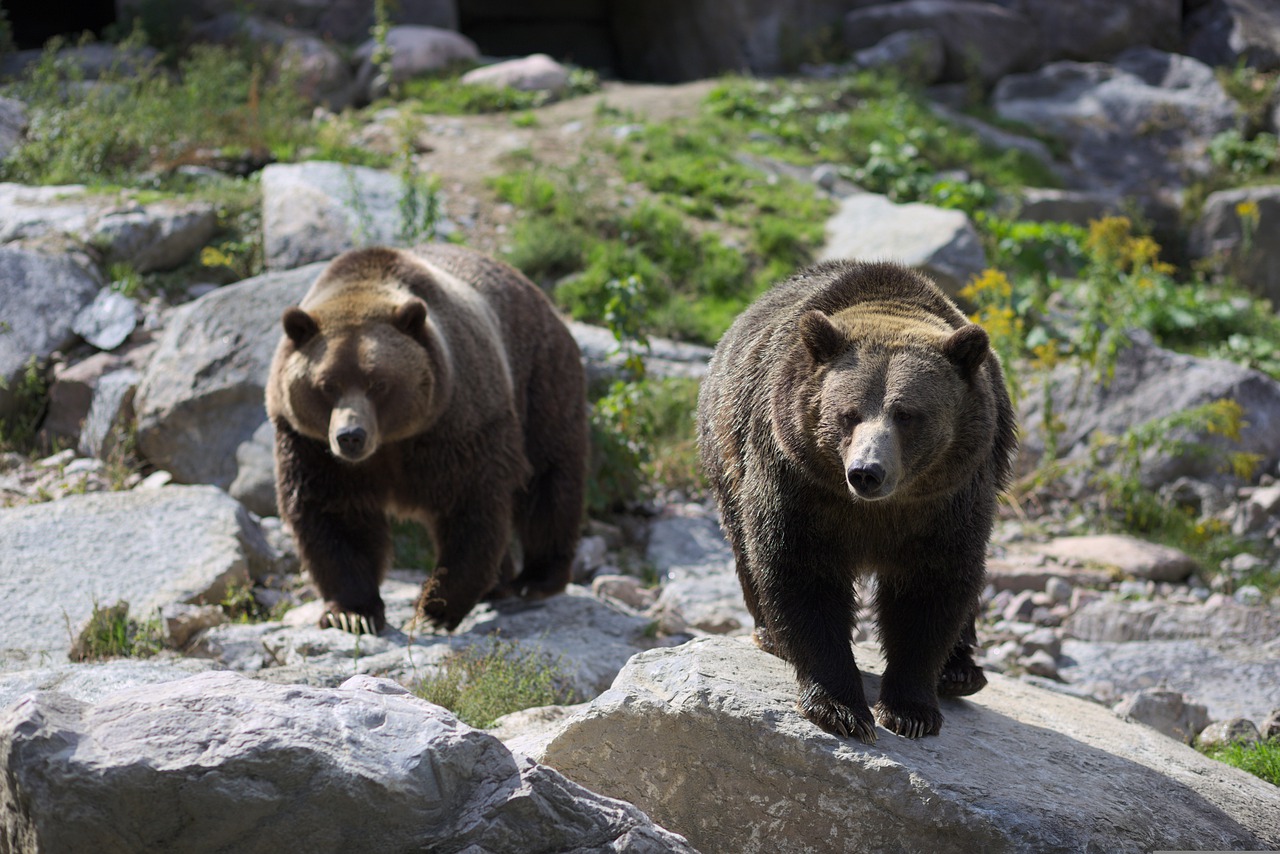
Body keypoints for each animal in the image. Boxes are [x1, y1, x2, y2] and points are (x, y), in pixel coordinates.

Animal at [272, 245, 591, 635]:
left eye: (378, 382)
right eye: (327, 385)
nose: (350, 437)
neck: (391, 442)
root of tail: (539, 294)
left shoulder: (455, 422)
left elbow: (472, 502)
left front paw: (433, 608)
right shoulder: (310, 444)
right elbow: (333, 514)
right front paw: (352, 613)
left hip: (539, 375)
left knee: (550, 476)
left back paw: (537, 578)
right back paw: (499, 584)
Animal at [696, 258, 1013, 742]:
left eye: (907, 414)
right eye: (848, 414)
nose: (866, 472)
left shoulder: (948, 499)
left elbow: (933, 584)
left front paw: (910, 709)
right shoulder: (798, 481)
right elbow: (800, 570)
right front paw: (840, 707)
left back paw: (961, 671)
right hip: (726, 454)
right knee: (745, 545)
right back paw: (770, 635)